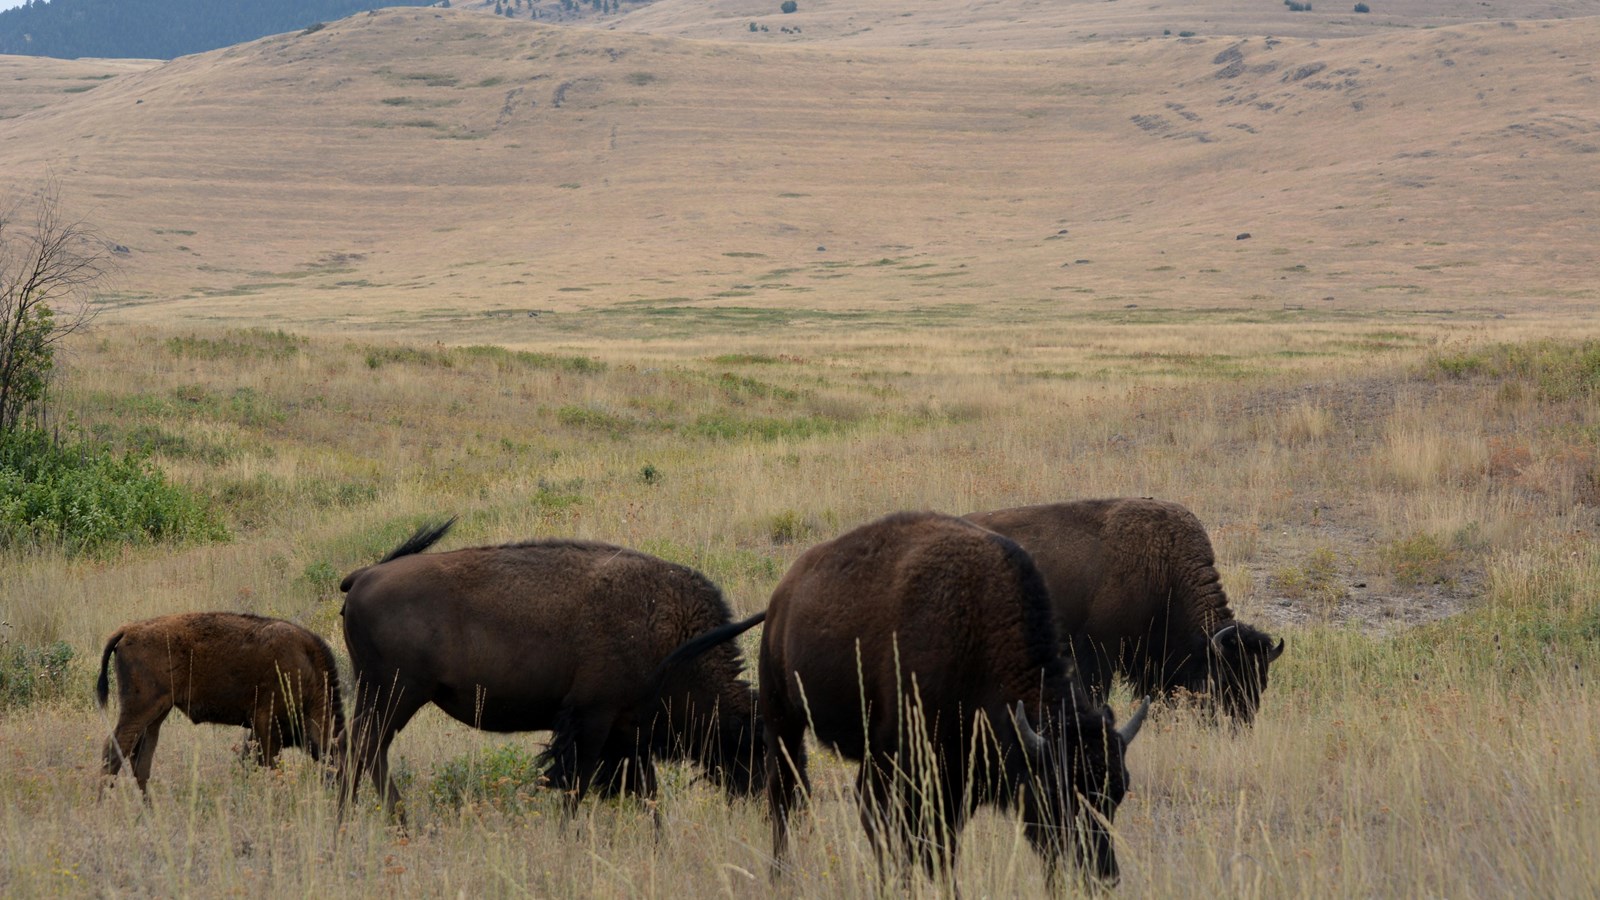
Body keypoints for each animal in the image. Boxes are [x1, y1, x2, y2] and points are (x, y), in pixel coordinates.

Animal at [95, 608, 345, 791]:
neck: (308, 666)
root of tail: (128, 630)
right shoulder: (266, 726)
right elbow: (268, 765)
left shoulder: (257, 730)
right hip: (139, 709)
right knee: (114, 750)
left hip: (156, 714)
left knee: (140, 760)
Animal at [336, 515, 761, 816]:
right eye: (757, 744)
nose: (761, 794)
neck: (668, 628)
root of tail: (364, 575)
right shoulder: (592, 720)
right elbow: (576, 785)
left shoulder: (629, 732)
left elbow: (646, 793)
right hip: (395, 693)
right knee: (368, 748)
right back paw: (392, 821)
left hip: (380, 695)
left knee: (359, 749)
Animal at [732, 509, 1145, 883]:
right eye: (1057, 794)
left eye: (1118, 793)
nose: (1103, 876)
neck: (978, 635)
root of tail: (784, 593)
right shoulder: (920, 766)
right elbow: (928, 841)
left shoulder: (959, 772)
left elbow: (943, 844)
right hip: (783, 719)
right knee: (784, 794)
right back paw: (781, 876)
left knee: (866, 808)